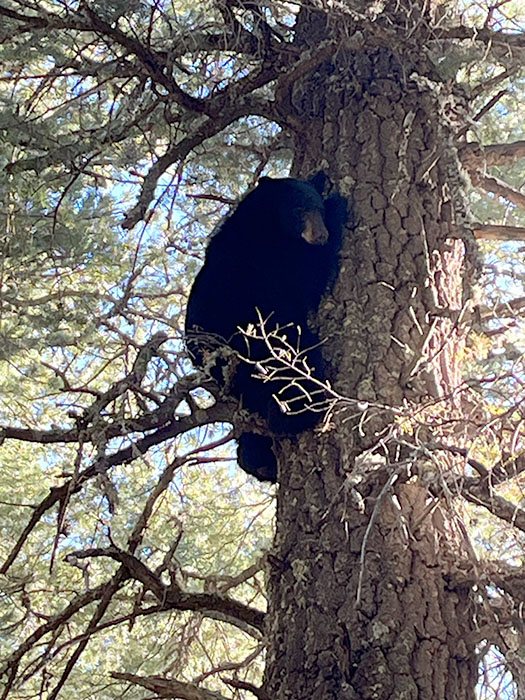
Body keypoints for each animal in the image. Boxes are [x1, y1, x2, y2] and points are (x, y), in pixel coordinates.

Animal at [185, 174, 347, 482]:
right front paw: (338, 207)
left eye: (316, 208)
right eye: (299, 210)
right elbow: (309, 275)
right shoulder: (268, 263)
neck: (264, 223)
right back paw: (301, 411)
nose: (320, 236)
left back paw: (257, 458)